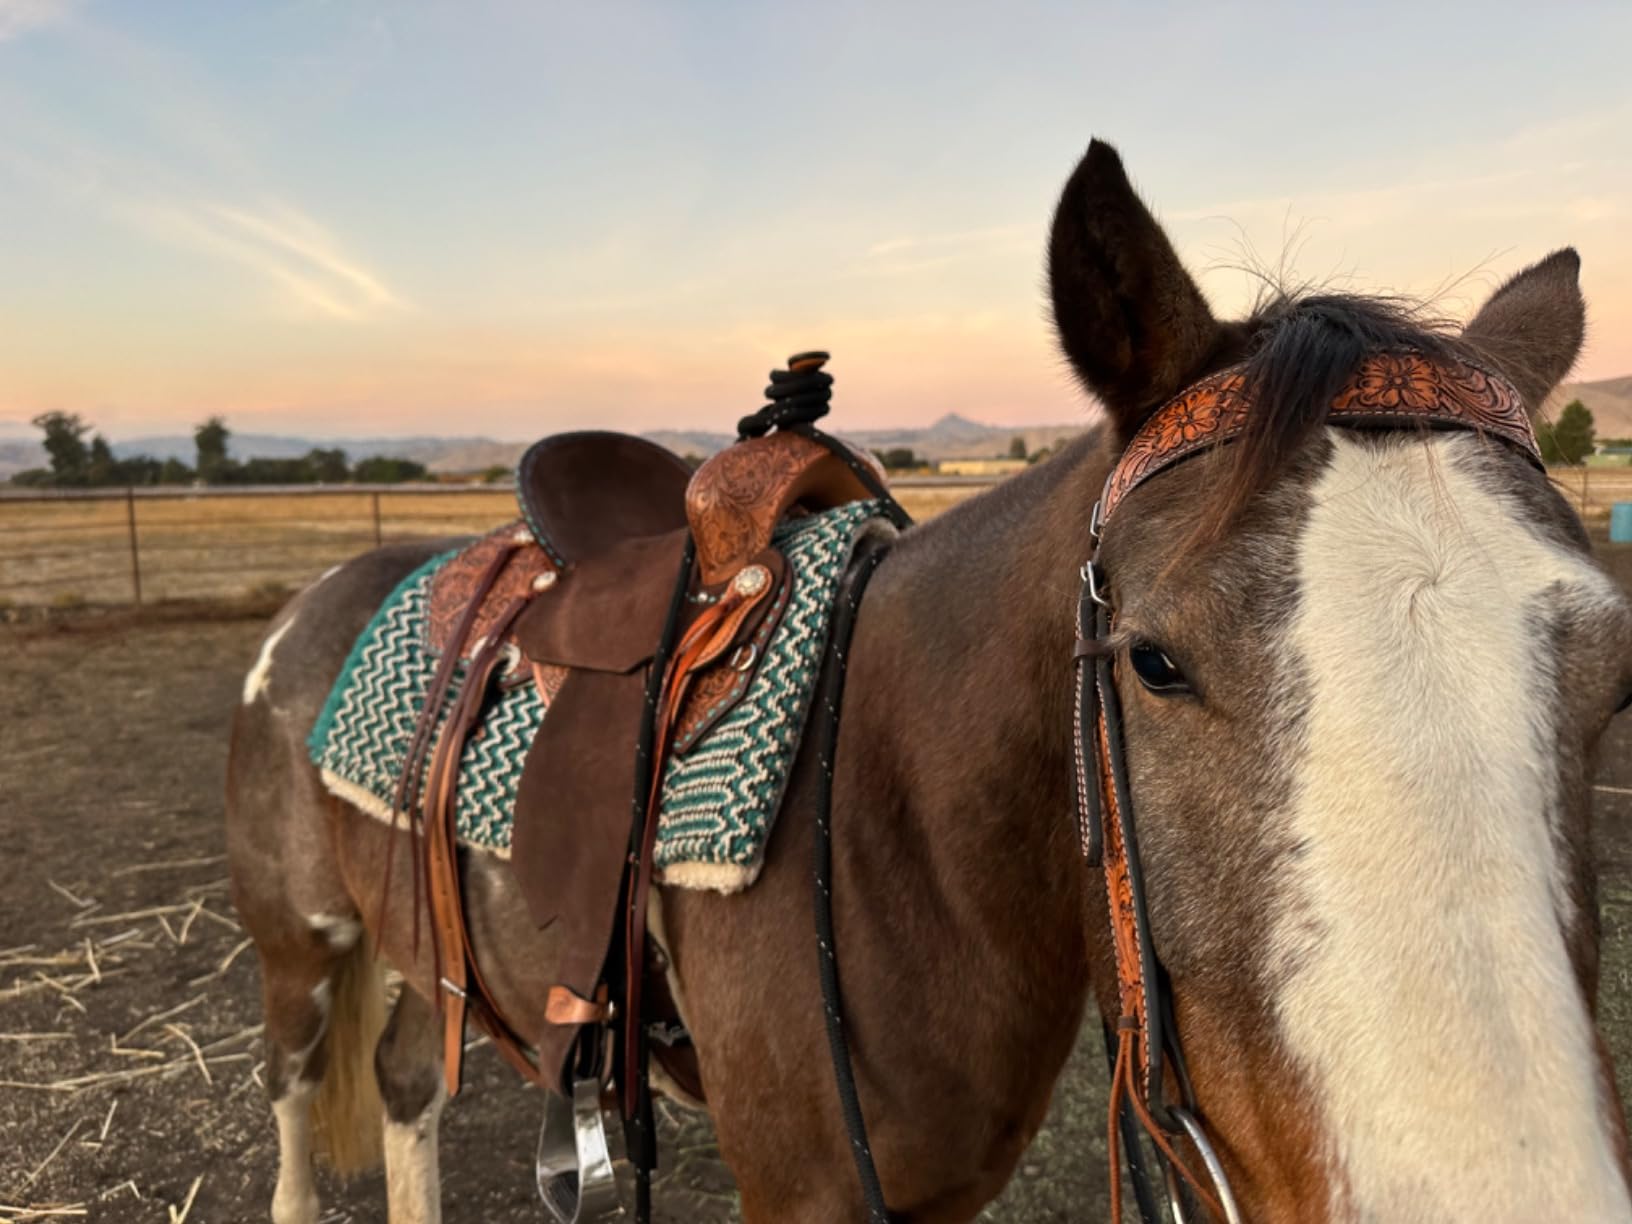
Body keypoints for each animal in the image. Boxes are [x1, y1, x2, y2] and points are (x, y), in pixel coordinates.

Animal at [226, 138, 1632, 1223]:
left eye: (1616, 683)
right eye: (1155, 663)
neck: (887, 819)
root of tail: (314, 600)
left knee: (406, 1085)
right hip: (301, 945)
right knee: (296, 1095)